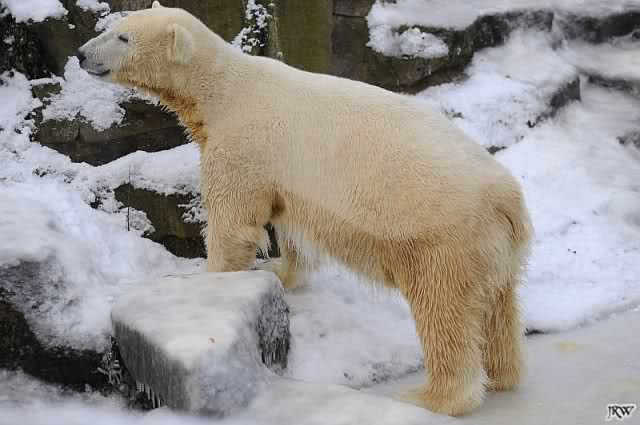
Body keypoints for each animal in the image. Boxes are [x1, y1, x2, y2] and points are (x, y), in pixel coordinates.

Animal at [77, 2, 533, 416]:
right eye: (113, 27)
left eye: (123, 37)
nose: (81, 54)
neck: (224, 89)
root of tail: (507, 202)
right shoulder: (290, 178)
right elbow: (290, 225)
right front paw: (278, 269)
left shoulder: (244, 145)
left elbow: (234, 220)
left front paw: (212, 279)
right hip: (491, 250)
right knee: (497, 308)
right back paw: (503, 373)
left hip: (442, 240)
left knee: (444, 312)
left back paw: (432, 397)